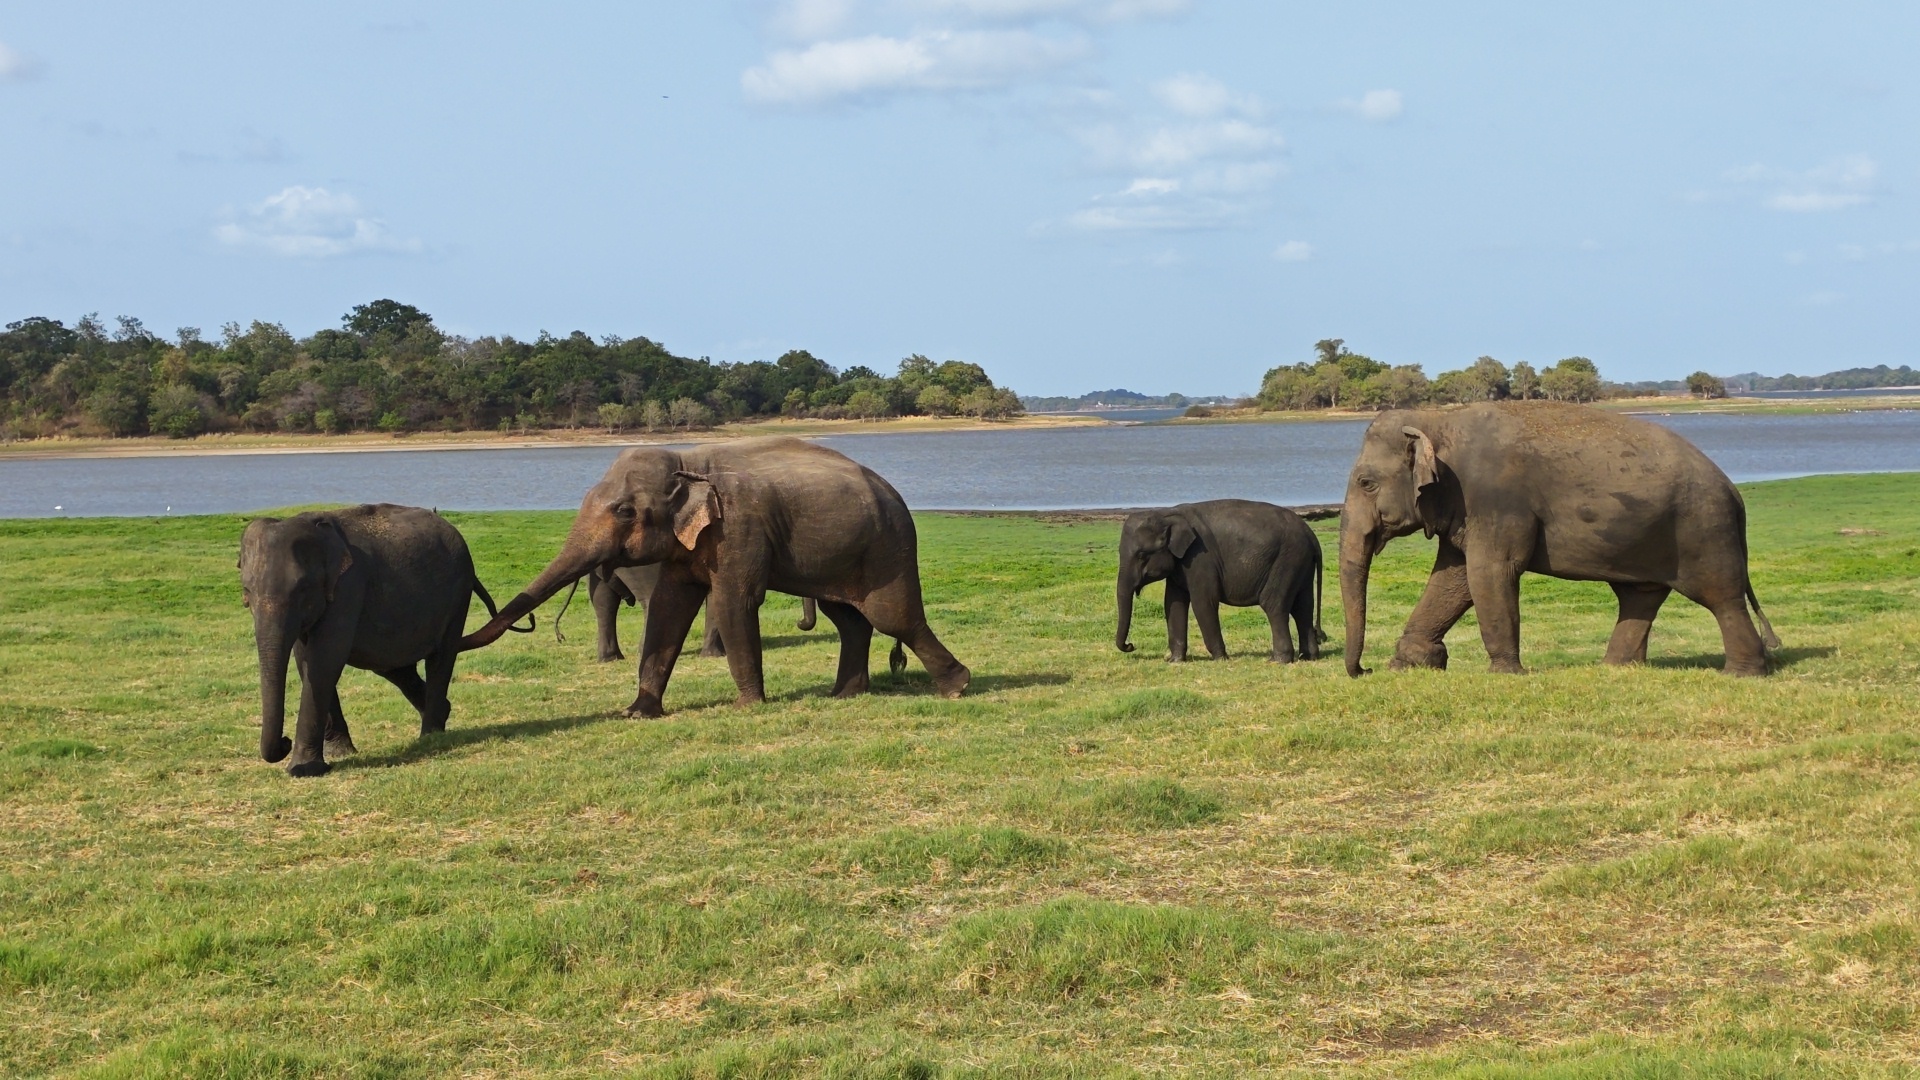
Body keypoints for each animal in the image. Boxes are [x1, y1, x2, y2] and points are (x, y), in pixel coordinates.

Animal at [238, 503, 525, 777]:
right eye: (247, 591)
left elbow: (324, 660)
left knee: (441, 657)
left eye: (302, 590)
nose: (284, 742)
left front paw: (304, 770)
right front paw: (340, 754)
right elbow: (305, 661)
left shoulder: (348, 587)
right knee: (394, 667)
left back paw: (429, 737)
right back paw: (440, 715)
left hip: (458, 595)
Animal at [462, 436, 969, 716]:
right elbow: (669, 608)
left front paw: (747, 707)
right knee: (849, 620)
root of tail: (894, 492)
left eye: (625, 511)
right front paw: (636, 712)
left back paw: (957, 687)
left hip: (888, 547)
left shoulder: (739, 527)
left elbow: (732, 602)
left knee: (892, 617)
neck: (689, 461)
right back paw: (844, 696)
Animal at [1115, 499, 1324, 663]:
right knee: (1303, 607)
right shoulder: (1180, 564)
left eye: (1142, 555)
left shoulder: (1200, 557)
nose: (1131, 645)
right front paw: (1174, 661)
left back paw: (1277, 661)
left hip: (1286, 561)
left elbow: (1203, 603)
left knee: (1273, 605)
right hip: (1300, 564)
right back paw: (1308, 657)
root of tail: (1311, 535)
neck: (1166, 513)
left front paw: (1221, 658)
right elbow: (1173, 603)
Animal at [1338, 401, 1780, 678]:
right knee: (1640, 597)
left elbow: (1491, 572)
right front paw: (1410, 664)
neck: (1440, 420)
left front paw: (1506, 673)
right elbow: (1454, 577)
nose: (1364, 669)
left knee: (1721, 597)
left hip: (1704, 529)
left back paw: (1742, 675)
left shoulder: (1496, 500)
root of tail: (1734, 491)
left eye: (1366, 483)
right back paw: (1615, 668)